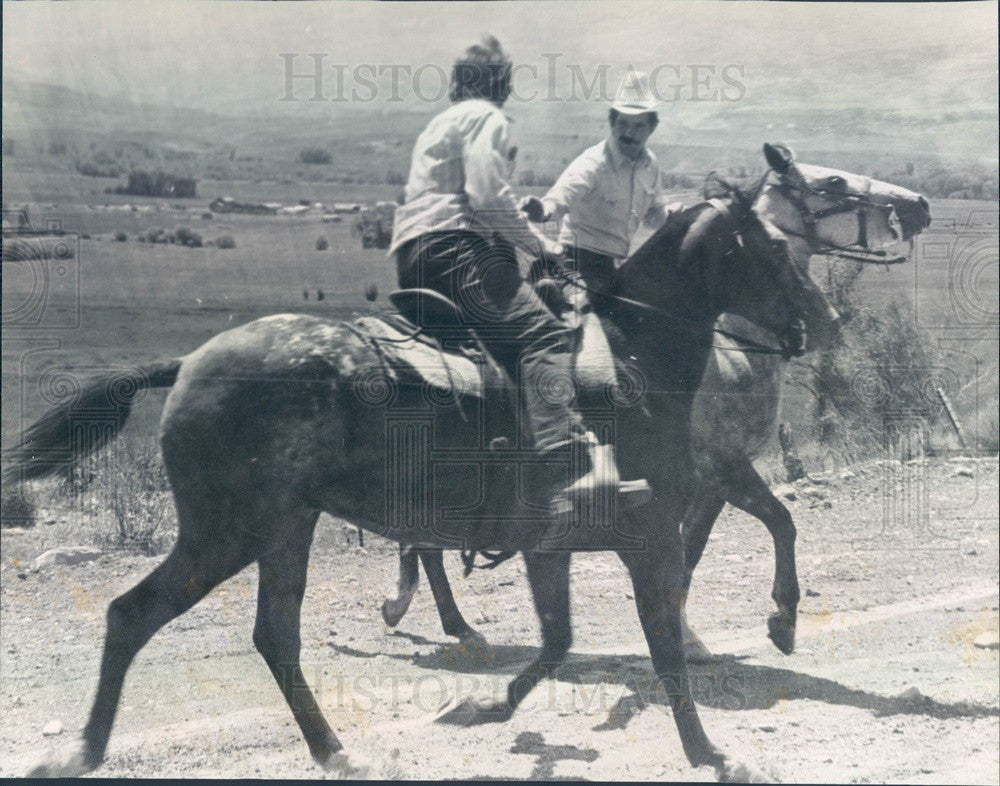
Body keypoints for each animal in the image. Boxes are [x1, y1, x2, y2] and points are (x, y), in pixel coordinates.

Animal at [9, 165, 836, 776]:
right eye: (773, 246)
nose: (825, 320)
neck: (632, 359)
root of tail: (187, 364)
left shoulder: (553, 546)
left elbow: (561, 640)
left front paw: (484, 708)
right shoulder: (649, 532)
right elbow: (661, 641)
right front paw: (717, 746)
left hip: (284, 529)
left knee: (275, 637)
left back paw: (335, 750)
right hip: (226, 533)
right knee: (135, 614)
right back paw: (83, 752)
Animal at [380, 141, 928, 656]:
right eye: (833, 182)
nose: (920, 205)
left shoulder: (709, 481)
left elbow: (694, 549)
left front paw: (690, 635)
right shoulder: (722, 466)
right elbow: (777, 522)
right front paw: (774, 621)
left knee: (419, 541)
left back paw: (408, 608)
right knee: (424, 543)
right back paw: (457, 626)